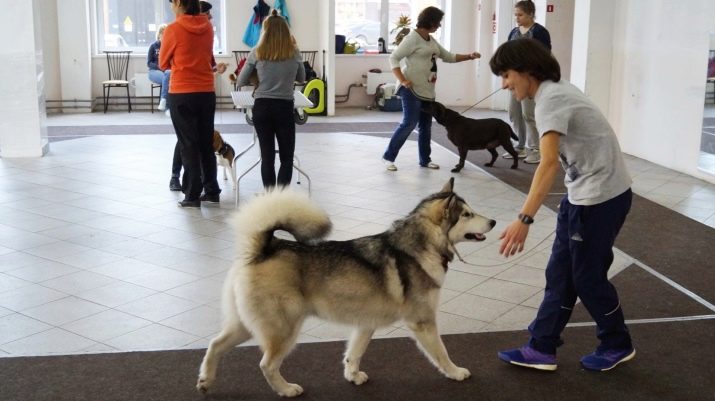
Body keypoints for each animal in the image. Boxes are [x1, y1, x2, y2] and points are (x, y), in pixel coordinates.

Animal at [196, 178, 496, 397]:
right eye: (467, 214)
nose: (493, 222)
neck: (420, 246)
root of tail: (264, 248)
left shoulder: (366, 323)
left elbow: (355, 353)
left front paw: (352, 375)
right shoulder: (422, 322)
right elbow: (442, 353)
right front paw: (455, 372)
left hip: (246, 325)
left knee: (215, 345)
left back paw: (205, 380)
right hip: (283, 329)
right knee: (266, 364)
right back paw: (286, 389)